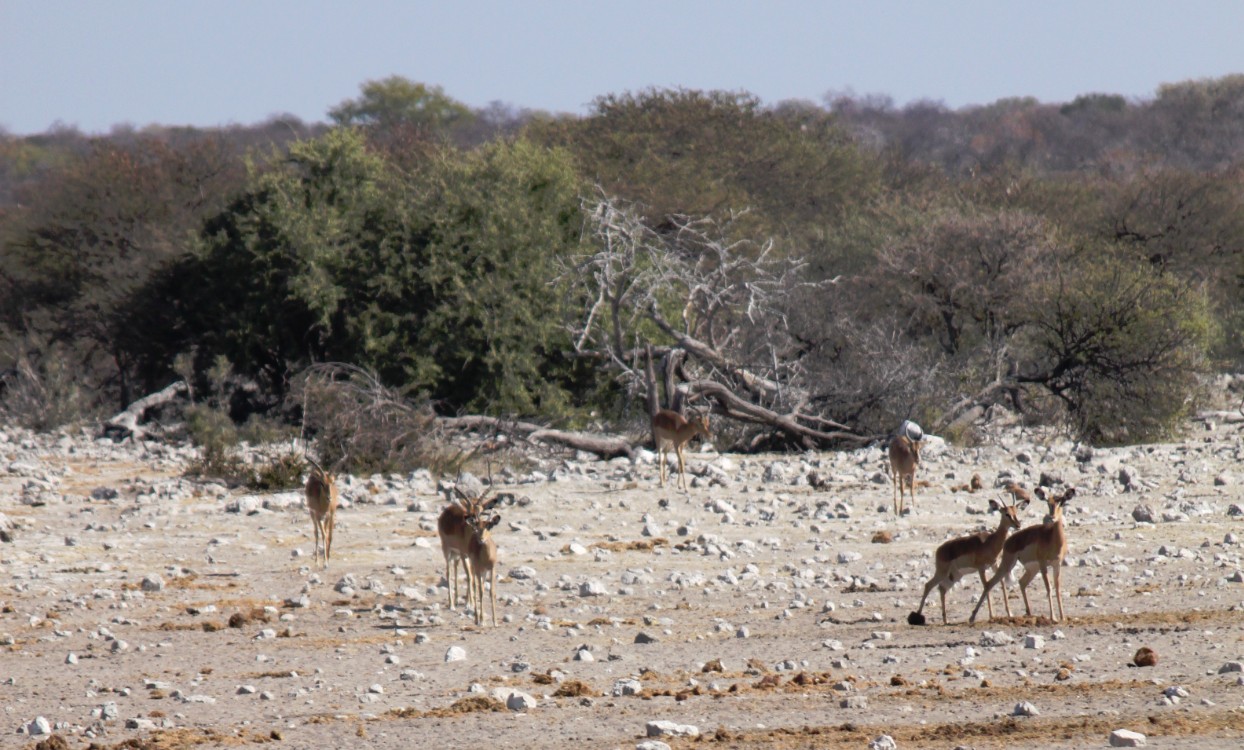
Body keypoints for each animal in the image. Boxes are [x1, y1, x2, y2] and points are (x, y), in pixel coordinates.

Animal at [965, 485, 1074, 624]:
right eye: (1047, 502)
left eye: (1062, 502)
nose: (1052, 517)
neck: (1053, 539)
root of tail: (1008, 541)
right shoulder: (1043, 563)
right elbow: (1049, 588)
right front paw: (1053, 617)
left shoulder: (1057, 564)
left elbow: (1058, 588)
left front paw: (1062, 617)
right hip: (1009, 564)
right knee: (990, 583)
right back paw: (972, 617)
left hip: (1032, 568)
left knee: (1022, 582)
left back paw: (1028, 612)